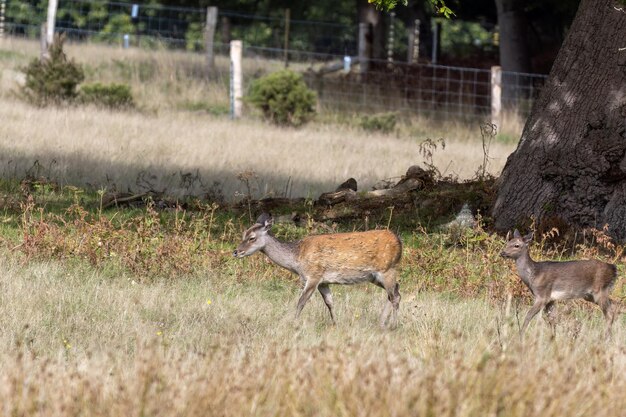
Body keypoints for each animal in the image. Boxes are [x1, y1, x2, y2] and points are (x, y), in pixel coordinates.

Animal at [232, 214, 402, 328]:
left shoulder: (313, 275)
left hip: (387, 269)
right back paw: (382, 323)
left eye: (252, 237)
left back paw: (393, 325)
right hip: (374, 277)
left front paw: (293, 323)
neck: (297, 260)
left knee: (394, 296)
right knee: (396, 292)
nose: (236, 252)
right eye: (243, 234)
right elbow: (329, 303)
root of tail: (399, 242)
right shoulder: (323, 281)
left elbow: (301, 301)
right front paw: (335, 324)